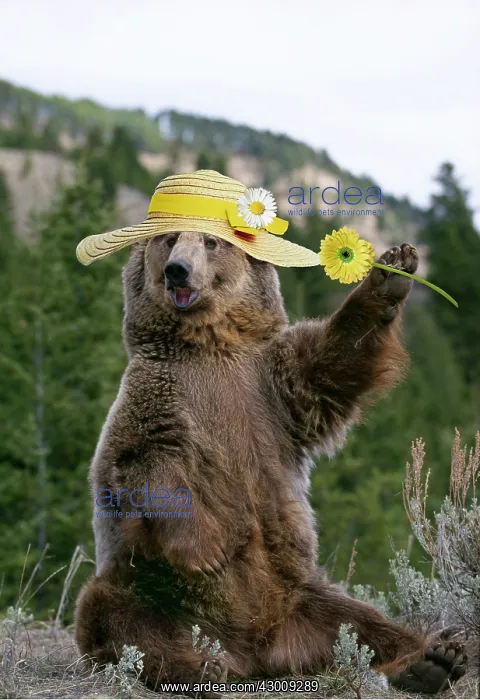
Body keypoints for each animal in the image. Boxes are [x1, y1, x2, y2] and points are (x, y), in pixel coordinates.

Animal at [75, 231, 467, 696]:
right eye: (169, 239)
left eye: (211, 242)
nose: (177, 270)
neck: (210, 343)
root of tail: (256, 650)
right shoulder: (156, 394)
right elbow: (142, 462)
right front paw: (207, 551)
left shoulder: (274, 383)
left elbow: (336, 357)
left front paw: (393, 270)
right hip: (149, 584)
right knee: (123, 623)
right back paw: (199, 667)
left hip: (304, 595)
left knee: (361, 625)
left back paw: (432, 659)